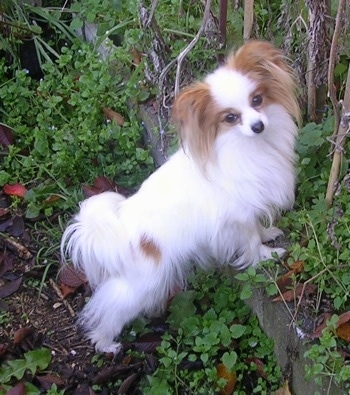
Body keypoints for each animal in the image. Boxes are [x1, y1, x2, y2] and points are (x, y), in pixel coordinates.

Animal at [61, 41, 300, 354]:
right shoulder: (238, 217)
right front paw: (265, 256)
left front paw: (268, 234)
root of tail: (119, 233)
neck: (249, 146)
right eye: (231, 118)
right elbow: (250, 241)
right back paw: (105, 343)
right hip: (144, 283)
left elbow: (258, 228)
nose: (258, 125)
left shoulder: (251, 206)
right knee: (110, 308)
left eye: (257, 100)